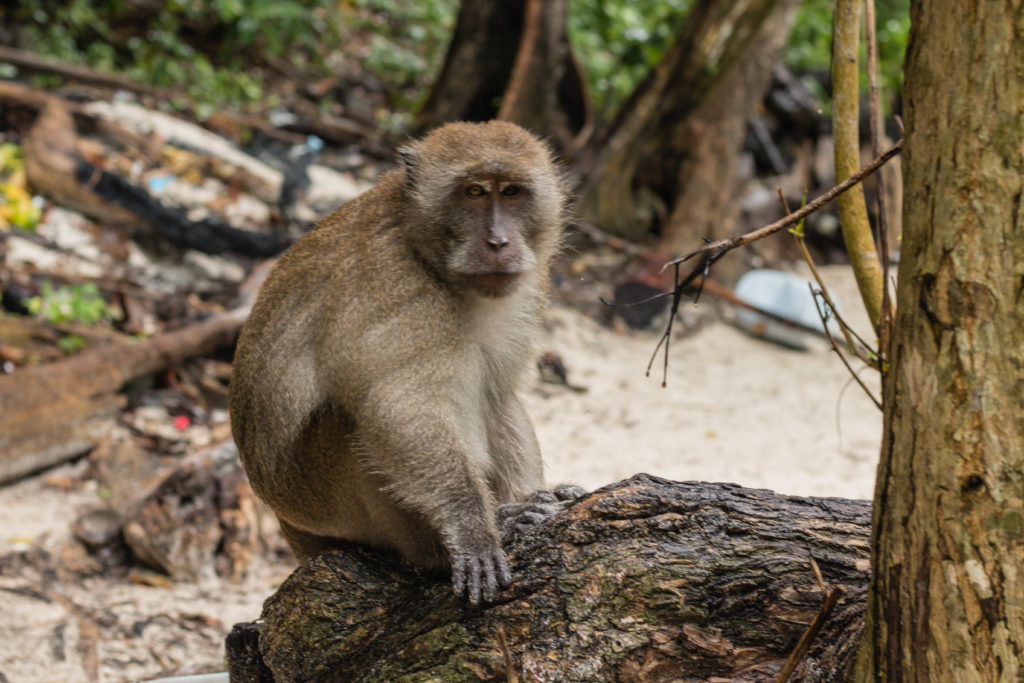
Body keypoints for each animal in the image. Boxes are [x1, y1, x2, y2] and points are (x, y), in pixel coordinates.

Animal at [230, 121, 573, 604]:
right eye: (473, 192)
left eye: (511, 192)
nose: (498, 242)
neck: (428, 254)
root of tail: (286, 524)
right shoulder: (394, 284)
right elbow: (401, 408)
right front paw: (474, 529)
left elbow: (499, 395)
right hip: (324, 504)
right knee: (356, 422)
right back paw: (437, 551)